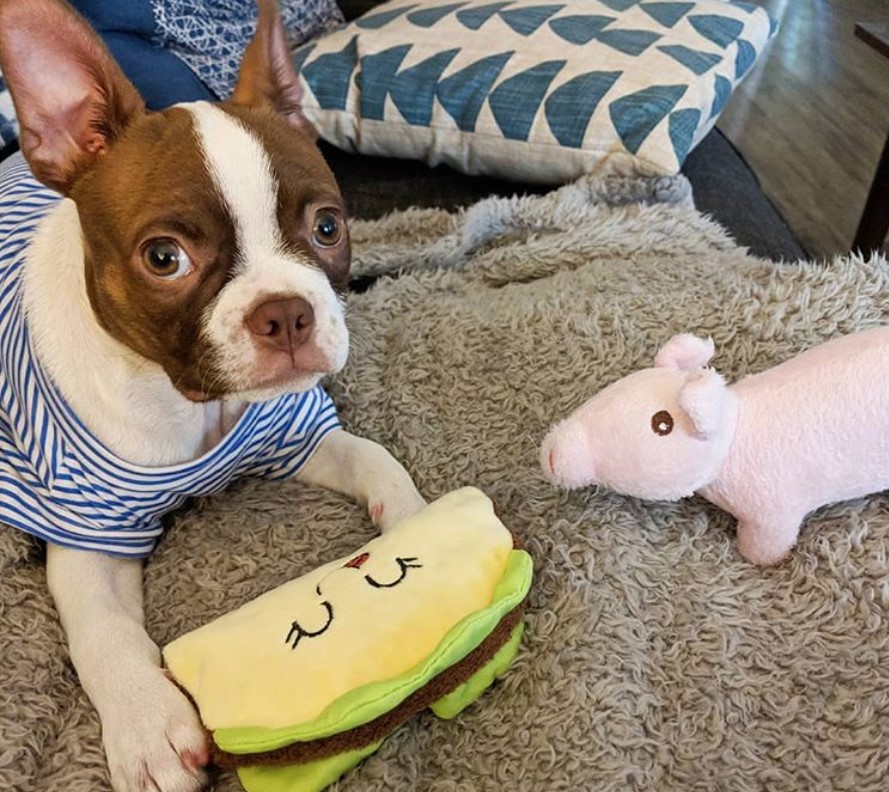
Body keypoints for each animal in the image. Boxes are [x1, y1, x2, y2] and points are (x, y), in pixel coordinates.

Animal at [0, 1, 426, 792]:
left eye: (328, 227)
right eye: (164, 258)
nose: (286, 312)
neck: (195, 404)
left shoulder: (298, 434)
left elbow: (376, 459)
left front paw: (419, 525)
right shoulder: (87, 528)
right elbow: (102, 631)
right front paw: (147, 726)